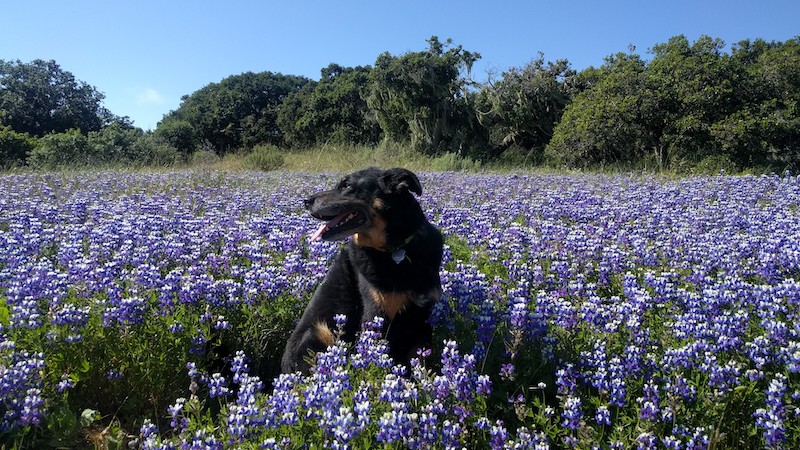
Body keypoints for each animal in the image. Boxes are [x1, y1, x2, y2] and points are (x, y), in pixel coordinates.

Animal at [282, 167, 444, 374]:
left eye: (346, 186)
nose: (306, 201)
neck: (396, 250)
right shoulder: (376, 314)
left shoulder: (424, 319)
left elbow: (420, 360)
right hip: (319, 331)